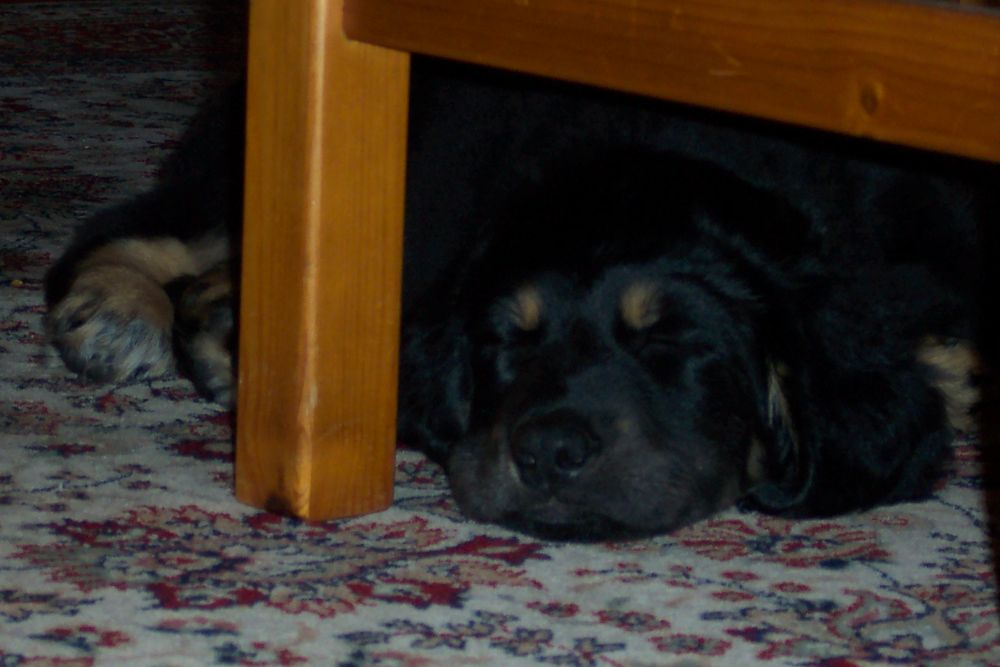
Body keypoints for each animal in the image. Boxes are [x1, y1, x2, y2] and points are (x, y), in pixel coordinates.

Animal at [46, 62, 991, 541]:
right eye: (508, 340)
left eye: (675, 345)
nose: (548, 453)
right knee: (158, 220)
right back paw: (118, 308)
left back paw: (223, 331)